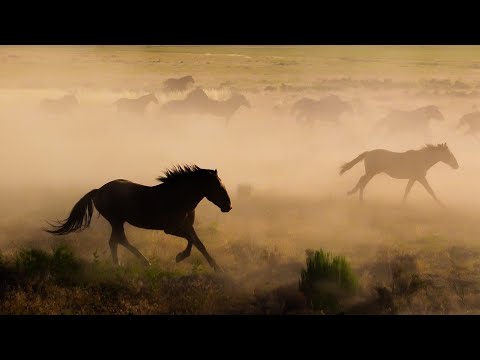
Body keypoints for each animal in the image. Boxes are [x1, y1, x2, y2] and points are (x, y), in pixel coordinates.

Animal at [44, 165, 232, 272]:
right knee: (118, 240)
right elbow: (192, 240)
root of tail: (98, 190)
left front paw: (217, 267)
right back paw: (138, 263)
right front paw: (180, 257)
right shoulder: (171, 228)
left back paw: (122, 264)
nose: (228, 206)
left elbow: (198, 243)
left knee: (116, 241)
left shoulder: (186, 226)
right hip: (116, 220)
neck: (178, 197)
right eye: (217, 186)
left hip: (118, 221)